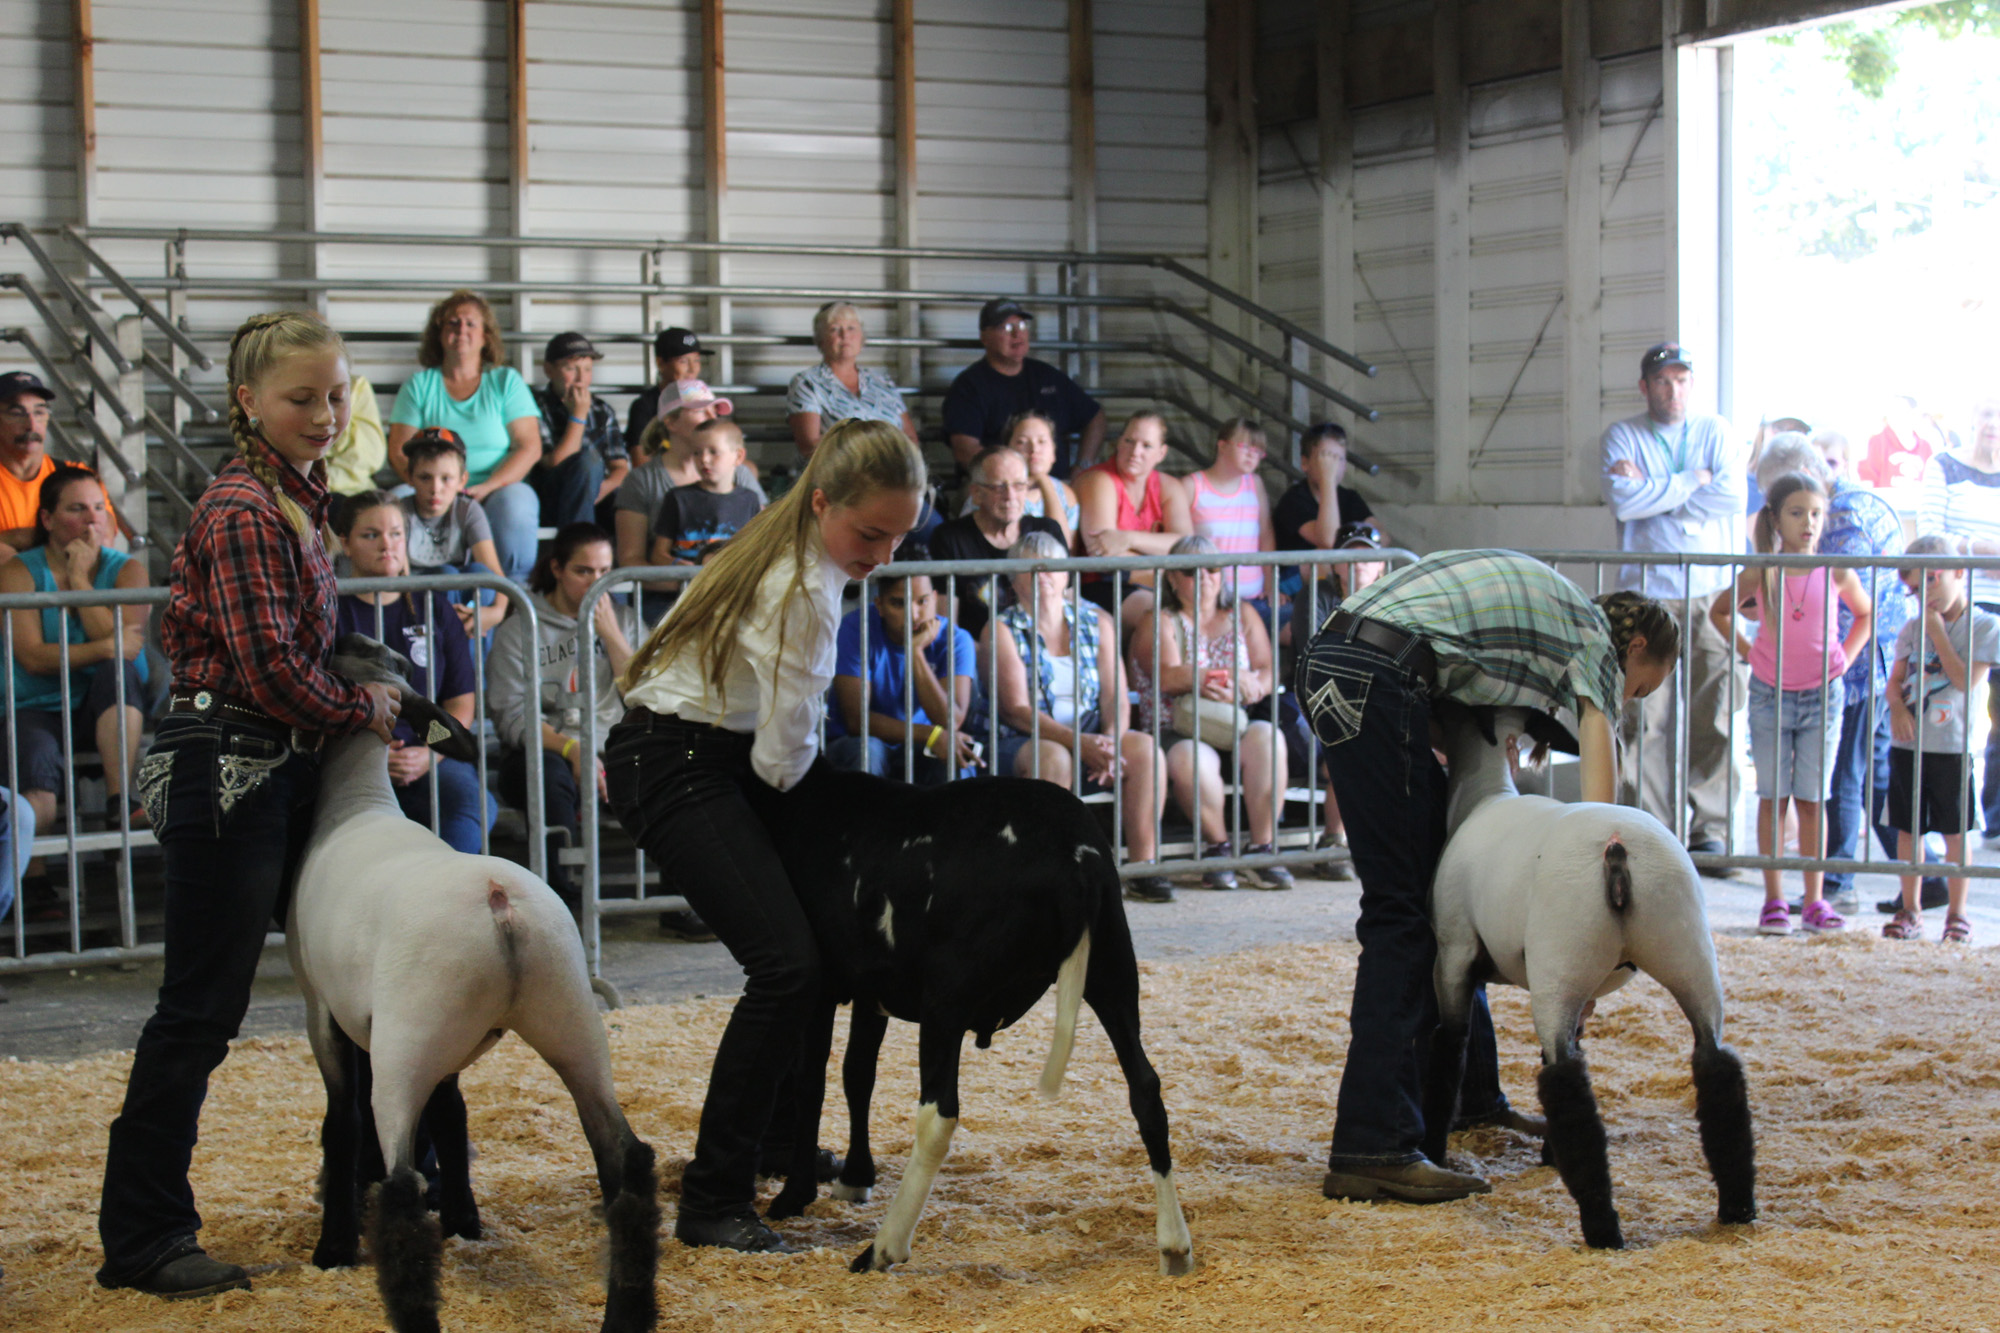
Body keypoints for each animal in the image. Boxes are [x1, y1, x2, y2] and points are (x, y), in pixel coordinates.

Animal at [289, 635, 658, 1333]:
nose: (342, 637)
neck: (358, 802)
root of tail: (500, 905)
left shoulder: (322, 1010)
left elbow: (342, 1122)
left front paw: (333, 1246)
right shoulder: (446, 1045)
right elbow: (452, 1111)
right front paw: (464, 1216)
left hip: (410, 1036)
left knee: (402, 1186)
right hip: (567, 1017)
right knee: (625, 1160)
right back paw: (626, 1312)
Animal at [744, 764, 1195, 1277]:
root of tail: (1076, 856)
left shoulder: (825, 983)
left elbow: (811, 1082)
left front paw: (793, 1195)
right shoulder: (872, 986)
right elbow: (858, 1074)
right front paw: (856, 1176)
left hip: (948, 993)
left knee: (938, 1116)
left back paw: (882, 1249)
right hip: (1112, 967)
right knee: (1146, 1090)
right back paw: (1174, 1246)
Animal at [1422, 704, 1756, 1250]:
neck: (1484, 796)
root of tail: (1618, 851)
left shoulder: (1453, 956)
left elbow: (1449, 1048)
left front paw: (1434, 1145)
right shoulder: (1580, 994)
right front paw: (1547, 1156)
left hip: (1562, 959)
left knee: (1565, 1082)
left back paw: (1602, 1228)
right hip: (1684, 950)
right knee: (1716, 1066)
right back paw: (1737, 1206)